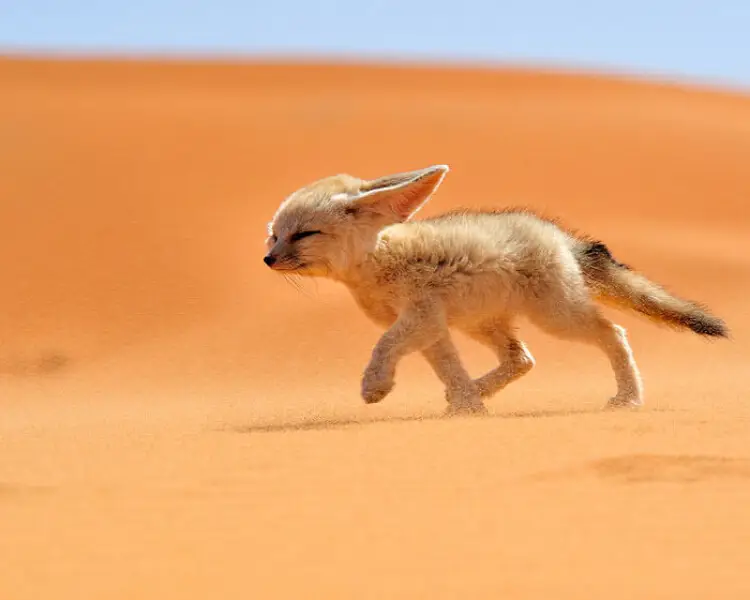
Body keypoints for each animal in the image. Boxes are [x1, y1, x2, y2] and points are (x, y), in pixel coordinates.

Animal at [263, 164, 728, 416]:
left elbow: (384, 346)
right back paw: (477, 391)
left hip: (557, 318)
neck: (378, 261)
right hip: (483, 324)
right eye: (274, 235)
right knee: (522, 359)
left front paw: (375, 386)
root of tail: (559, 236)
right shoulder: (432, 327)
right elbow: (448, 368)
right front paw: (468, 407)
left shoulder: (419, 316)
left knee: (613, 333)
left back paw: (629, 398)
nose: (268, 259)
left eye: (304, 234)